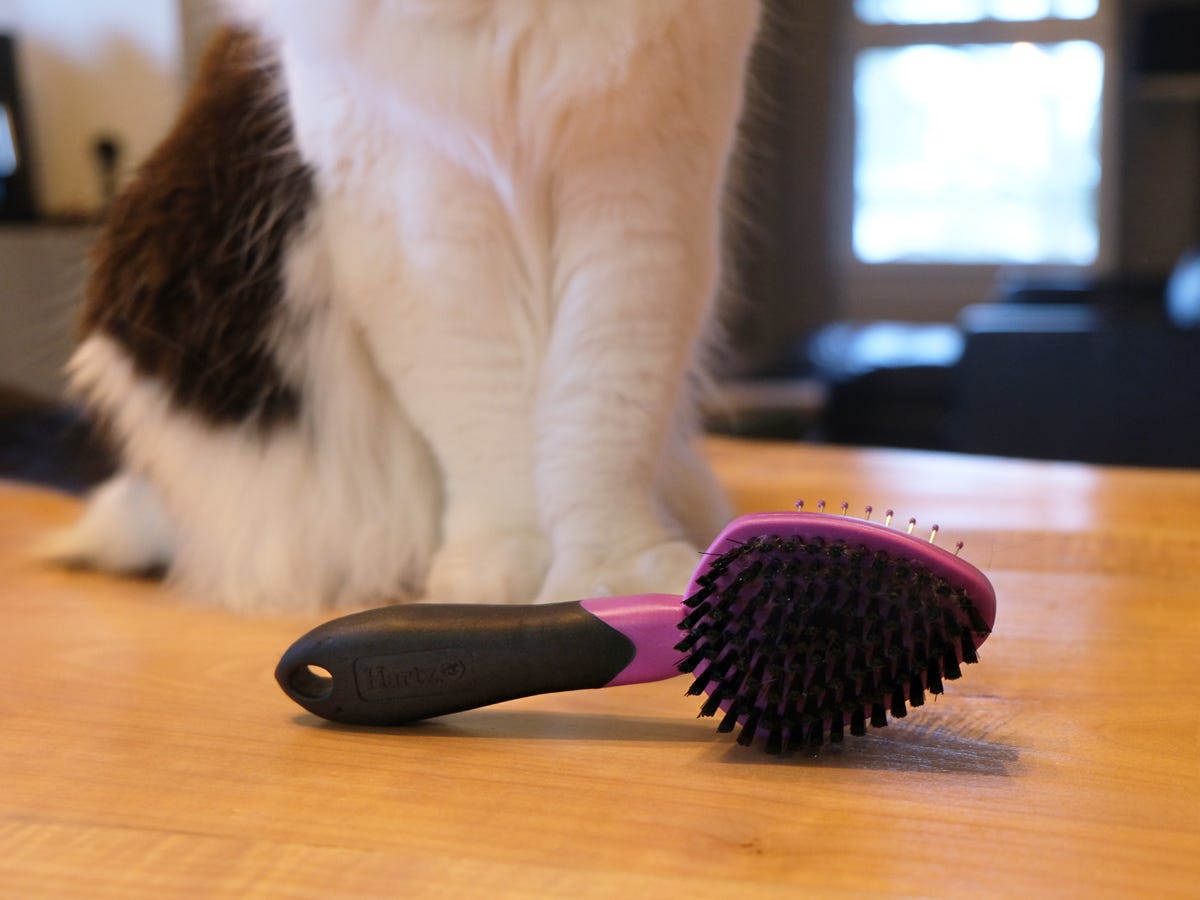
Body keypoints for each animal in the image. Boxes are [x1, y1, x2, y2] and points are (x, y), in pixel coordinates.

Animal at [49, 0, 758, 619]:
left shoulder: (636, 203)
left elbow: (600, 429)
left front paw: (615, 582)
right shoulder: (423, 228)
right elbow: (491, 434)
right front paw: (504, 573)